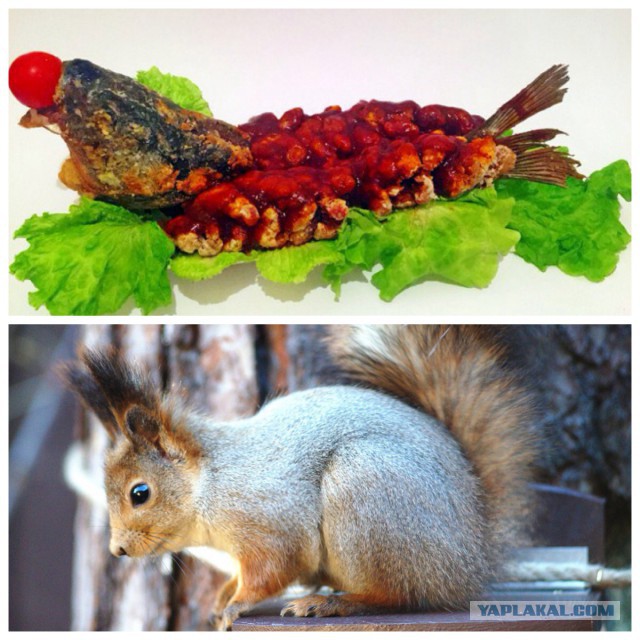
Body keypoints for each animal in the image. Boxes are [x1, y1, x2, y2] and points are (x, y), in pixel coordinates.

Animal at [62, 325, 537, 630]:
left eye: (140, 492)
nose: (118, 549)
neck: (210, 484)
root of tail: (474, 552)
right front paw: (222, 597)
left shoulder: (269, 522)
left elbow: (272, 569)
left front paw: (237, 605)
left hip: (364, 493)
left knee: (397, 595)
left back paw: (330, 604)